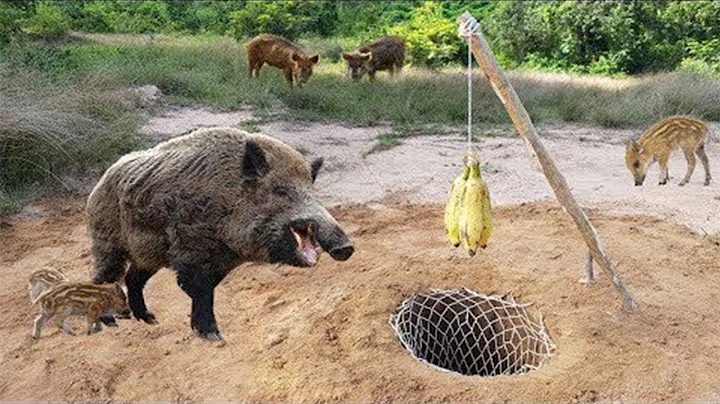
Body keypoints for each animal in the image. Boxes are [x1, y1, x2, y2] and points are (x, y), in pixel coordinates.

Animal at [86, 127, 354, 341]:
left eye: (311, 191)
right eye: (281, 190)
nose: (347, 247)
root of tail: (99, 182)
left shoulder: (221, 262)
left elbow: (207, 291)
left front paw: (206, 333)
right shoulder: (191, 246)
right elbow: (198, 289)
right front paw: (215, 337)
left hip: (149, 255)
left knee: (133, 278)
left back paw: (150, 319)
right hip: (107, 242)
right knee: (104, 276)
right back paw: (110, 322)